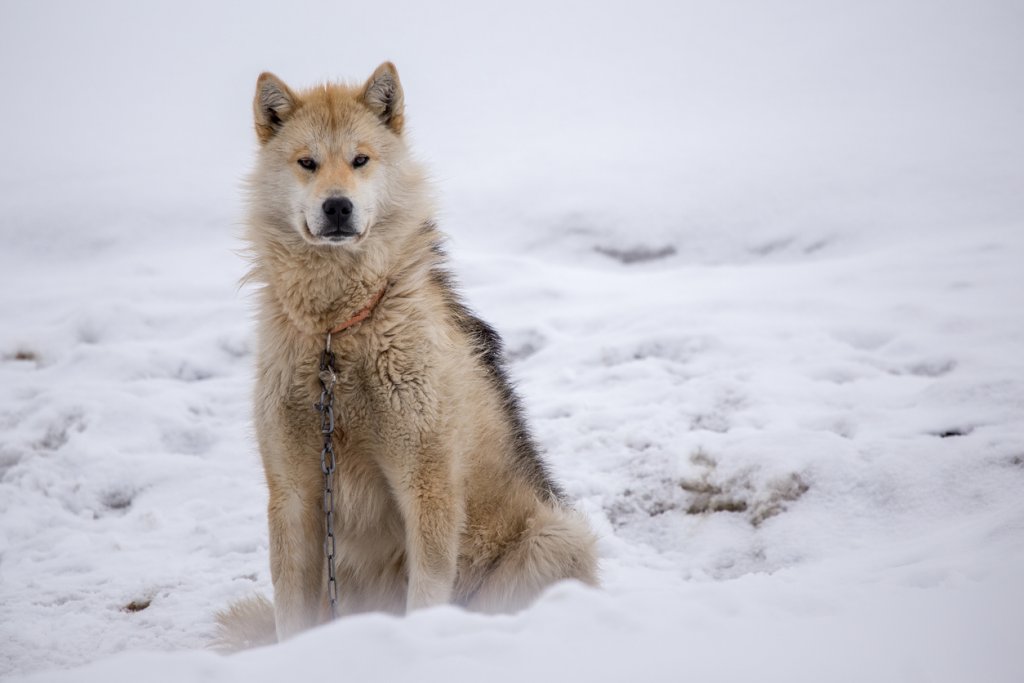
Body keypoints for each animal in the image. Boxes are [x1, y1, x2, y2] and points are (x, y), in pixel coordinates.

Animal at [217, 61, 598, 651]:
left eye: (360, 159)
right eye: (307, 163)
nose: (337, 205)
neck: (337, 336)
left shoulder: (427, 484)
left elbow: (426, 594)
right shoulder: (293, 493)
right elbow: (291, 614)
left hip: (556, 536)